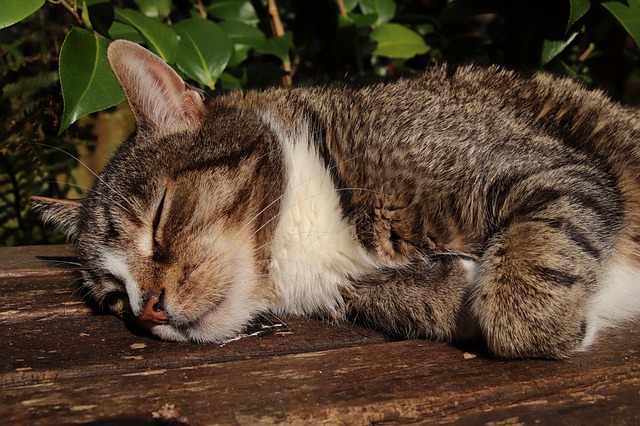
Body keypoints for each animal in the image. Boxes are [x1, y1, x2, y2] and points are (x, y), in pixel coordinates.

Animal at [32, 39, 640, 360]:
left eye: (159, 219)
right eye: (115, 299)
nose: (147, 310)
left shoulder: (554, 168)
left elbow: (525, 286)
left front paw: (556, 327)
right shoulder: (351, 289)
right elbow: (413, 301)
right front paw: (449, 289)